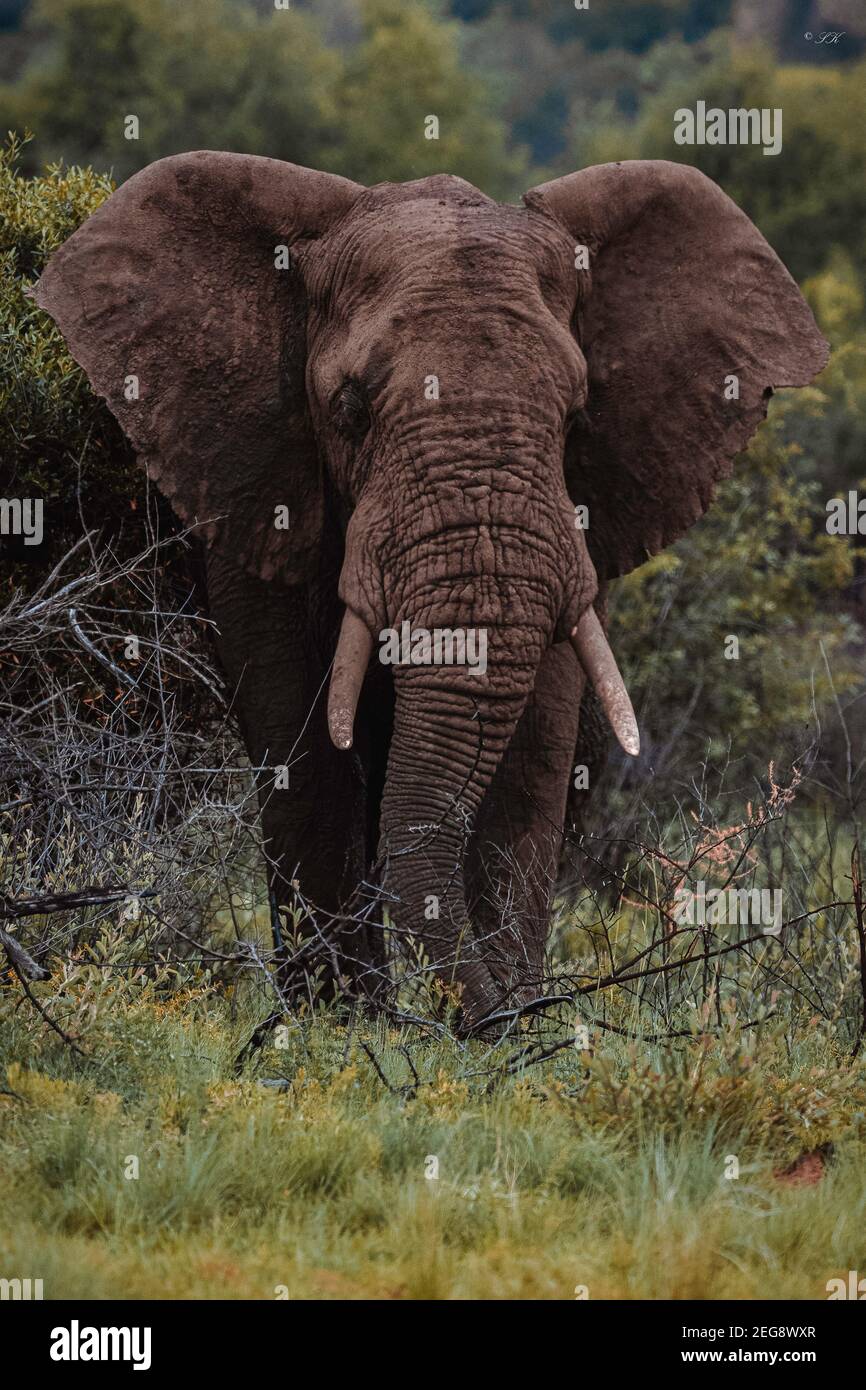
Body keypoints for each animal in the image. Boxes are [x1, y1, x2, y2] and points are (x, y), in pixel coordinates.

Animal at [37, 152, 828, 1028]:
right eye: (348, 406)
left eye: (576, 413)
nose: (491, 1019)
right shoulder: (258, 480)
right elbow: (302, 739)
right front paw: (343, 1027)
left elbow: (533, 749)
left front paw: (516, 1025)